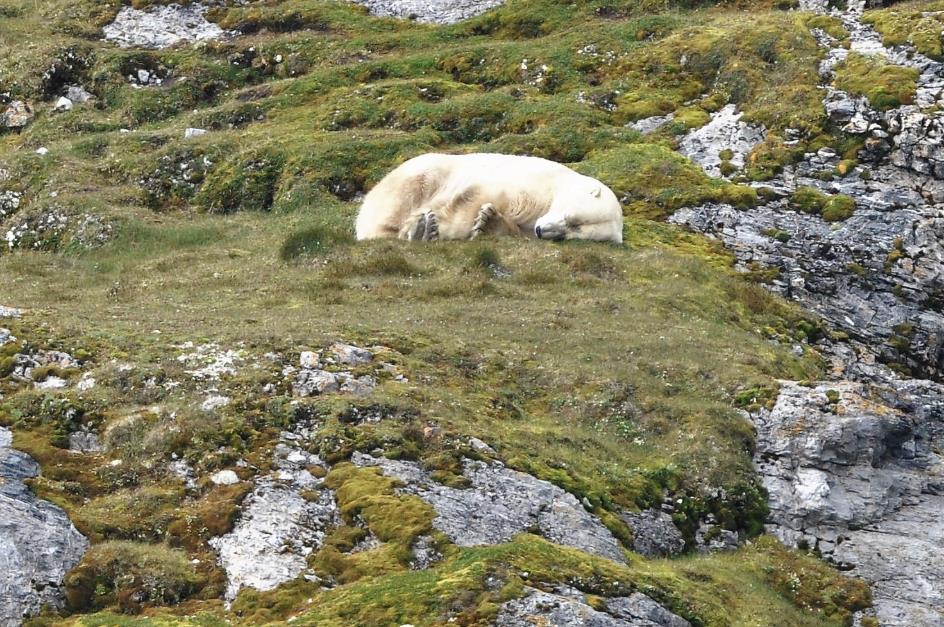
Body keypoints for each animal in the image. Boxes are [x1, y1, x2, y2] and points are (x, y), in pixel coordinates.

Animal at [356, 153, 628, 244]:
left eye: (572, 232)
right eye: (571, 218)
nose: (542, 230)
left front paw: (488, 223)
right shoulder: (529, 183)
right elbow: (473, 198)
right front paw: (436, 227)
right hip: (420, 175)